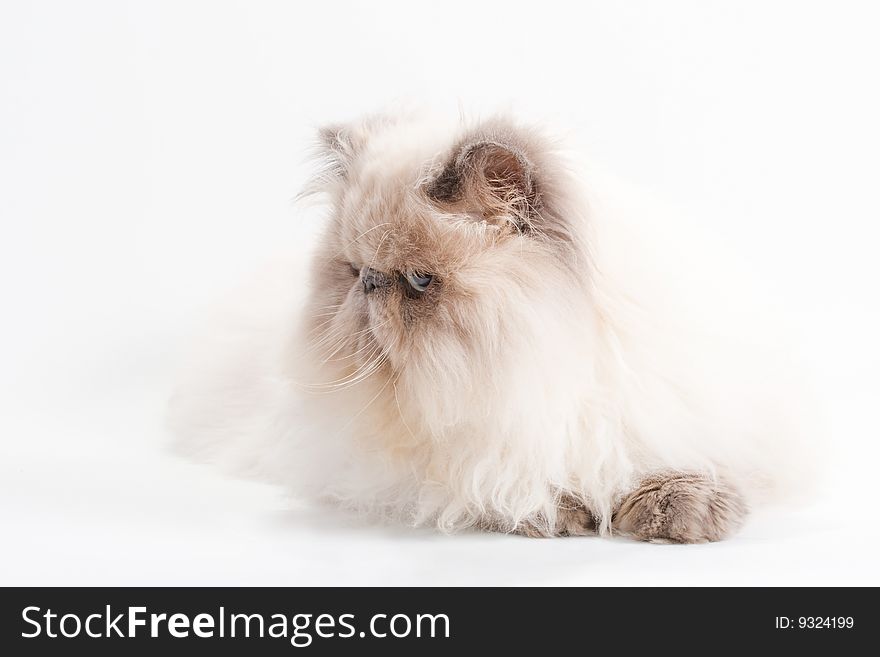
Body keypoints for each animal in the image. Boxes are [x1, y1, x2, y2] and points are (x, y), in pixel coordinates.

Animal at [172, 110, 820, 544]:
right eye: (354, 271)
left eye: (420, 281)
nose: (370, 287)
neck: (530, 370)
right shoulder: (402, 466)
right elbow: (502, 484)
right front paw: (564, 513)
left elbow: (667, 463)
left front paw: (681, 514)